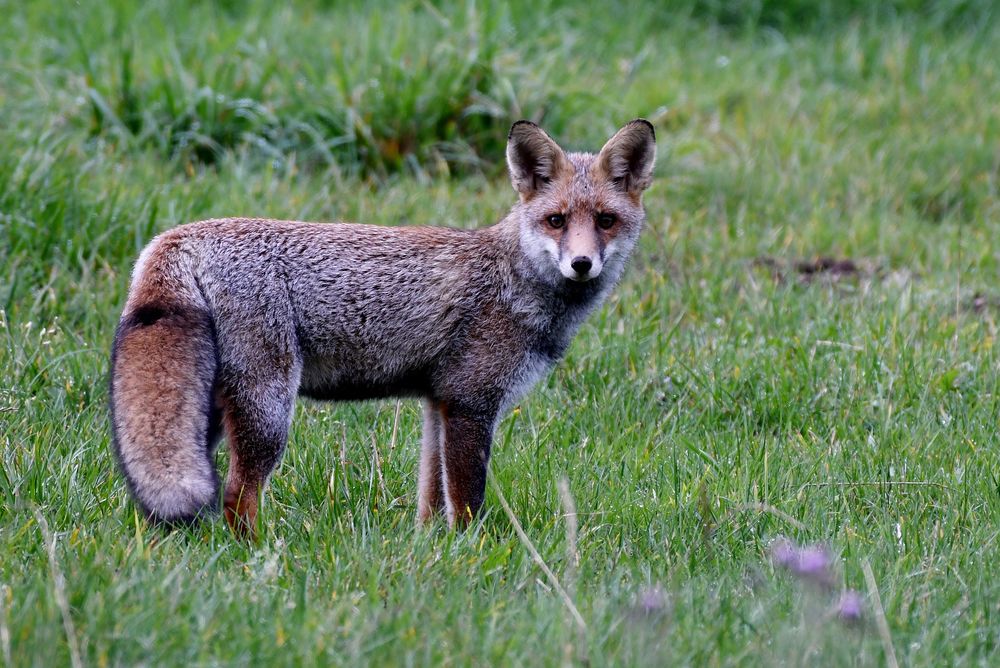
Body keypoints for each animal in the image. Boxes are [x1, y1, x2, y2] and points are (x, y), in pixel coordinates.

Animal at [109, 119, 656, 537]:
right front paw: (472, 556)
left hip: (210, 417)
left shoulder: (439, 403)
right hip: (268, 410)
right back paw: (257, 552)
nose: (582, 265)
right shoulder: (471, 403)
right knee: (236, 495)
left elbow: (432, 498)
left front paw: (433, 550)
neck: (512, 279)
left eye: (605, 220)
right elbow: (468, 502)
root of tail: (178, 236)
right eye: (556, 220)